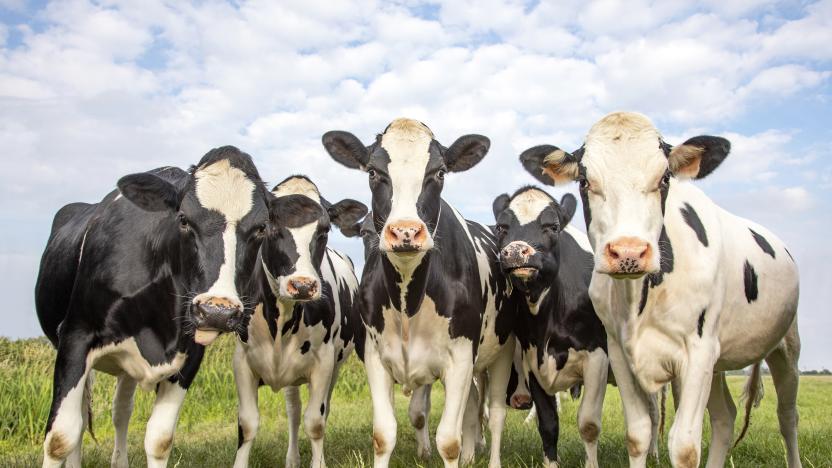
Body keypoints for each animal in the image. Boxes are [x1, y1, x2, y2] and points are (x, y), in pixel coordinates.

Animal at [35, 147, 270, 468]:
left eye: (261, 228)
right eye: (183, 219)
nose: (217, 312)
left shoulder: (189, 354)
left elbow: (159, 440)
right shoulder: (75, 336)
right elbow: (60, 437)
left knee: (120, 411)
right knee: (81, 419)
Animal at [231, 174, 368, 466]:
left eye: (324, 230)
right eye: (268, 227)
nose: (303, 286)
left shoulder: (324, 361)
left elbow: (315, 422)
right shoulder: (242, 360)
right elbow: (247, 424)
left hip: (335, 365)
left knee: (321, 409)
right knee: (293, 410)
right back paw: (292, 458)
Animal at [322, 118, 516, 468]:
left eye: (439, 173)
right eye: (373, 172)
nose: (406, 231)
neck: (407, 300)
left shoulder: (460, 359)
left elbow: (449, 441)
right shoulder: (375, 356)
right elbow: (384, 434)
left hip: (502, 351)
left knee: (495, 414)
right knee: (472, 406)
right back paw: (471, 454)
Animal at [490, 187, 608, 468]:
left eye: (553, 226)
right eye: (501, 227)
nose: (515, 251)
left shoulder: (597, 357)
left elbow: (588, 424)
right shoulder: (534, 360)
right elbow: (548, 424)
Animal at [520, 110, 800, 468]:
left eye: (665, 178)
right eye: (584, 181)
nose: (628, 252)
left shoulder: (697, 352)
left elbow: (684, 447)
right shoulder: (619, 352)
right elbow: (637, 435)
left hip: (786, 347)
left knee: (787, 416)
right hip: (718, 363)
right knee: (725, 417)